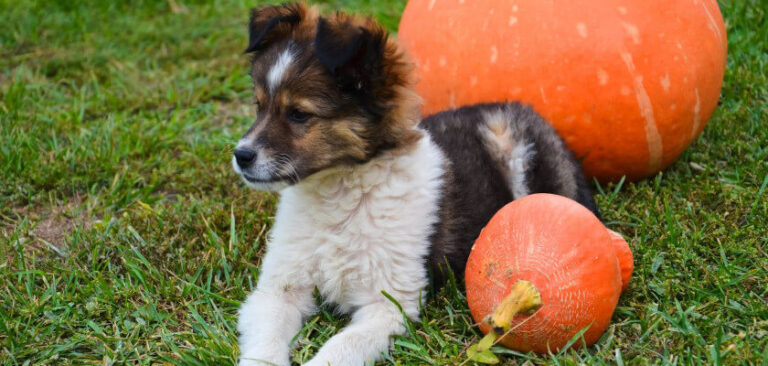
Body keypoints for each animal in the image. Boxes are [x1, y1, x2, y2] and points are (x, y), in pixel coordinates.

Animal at [234, 3, 600, 366]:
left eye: (299, 114)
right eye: (259, 106)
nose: (241, 155)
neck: (337, 194)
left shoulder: (391, 304)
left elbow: (340, 348)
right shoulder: (277, 289)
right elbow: (264, 346)